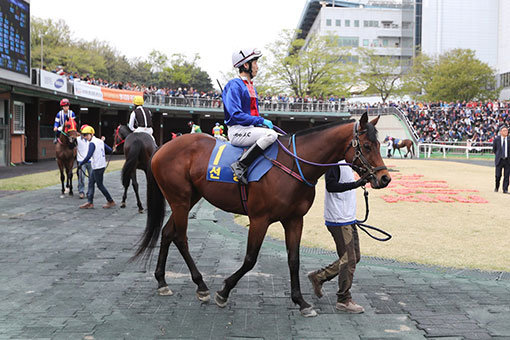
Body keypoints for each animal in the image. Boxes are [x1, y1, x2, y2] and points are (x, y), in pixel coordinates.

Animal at [132, 113, 390, 318]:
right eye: (367, 146)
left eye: (379, 145)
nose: (385, 178)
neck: (293, 164)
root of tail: (163, 147)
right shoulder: (259, 219)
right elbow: (250, 259)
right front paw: (223, 291)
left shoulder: (294, 219)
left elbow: (293, 259)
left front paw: (301, 302)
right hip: (180, 199)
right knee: (180, 237)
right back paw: (201, 285)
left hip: (189, 198)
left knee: (167, 233)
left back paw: (162, 281)